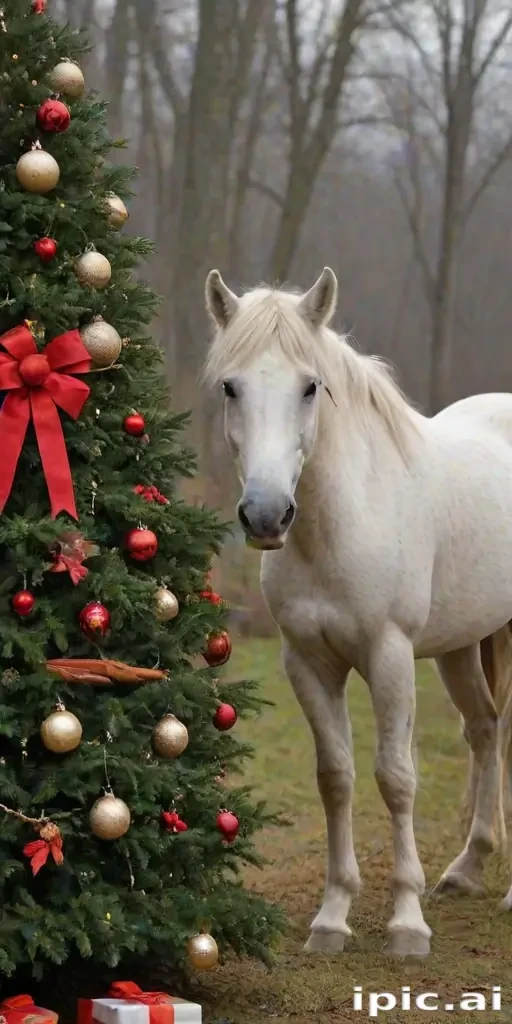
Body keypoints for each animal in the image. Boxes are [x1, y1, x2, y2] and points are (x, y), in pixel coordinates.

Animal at [202, 265, 512, 957]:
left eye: (310, 386)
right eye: (231, 386)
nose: (266, 515)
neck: (342, 523)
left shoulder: (389, 656)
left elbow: (395, 778)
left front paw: (406, 923)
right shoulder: (309, 663)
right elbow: (336, 776)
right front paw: (333, 915)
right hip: (461, 646)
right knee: (485, 729)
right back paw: (468, 867)